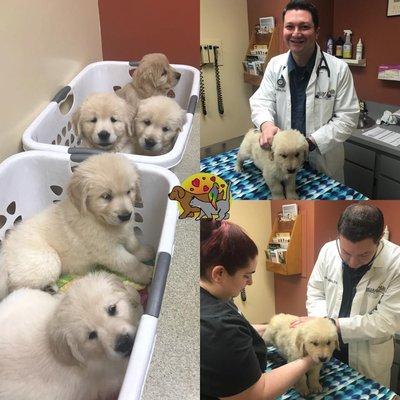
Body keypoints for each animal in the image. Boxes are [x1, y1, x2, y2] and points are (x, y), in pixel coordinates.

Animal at [0, 153, 155, 300]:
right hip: (47, 261)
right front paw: (145, 273)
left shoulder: (127, 233)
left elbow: (134, 245)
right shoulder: (108, 251)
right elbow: (130, 262)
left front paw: (146, 252)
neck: (98, 219)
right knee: (17, 288)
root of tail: (5, 250)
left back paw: (50, 288)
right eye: (106, 196)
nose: (126, 216)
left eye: (129, 191)